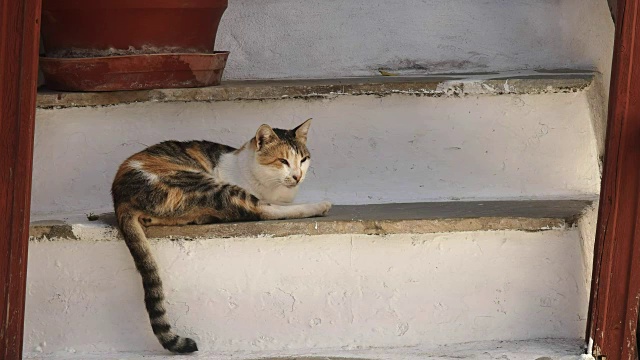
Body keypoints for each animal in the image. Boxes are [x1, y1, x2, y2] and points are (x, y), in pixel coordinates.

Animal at [110, 119, 330, 352]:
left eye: (303, 160)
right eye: (283, 161)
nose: (298, 176)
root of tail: (120, 197)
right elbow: (269, 207)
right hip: (202, 182)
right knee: (261, 210)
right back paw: (319, 206)